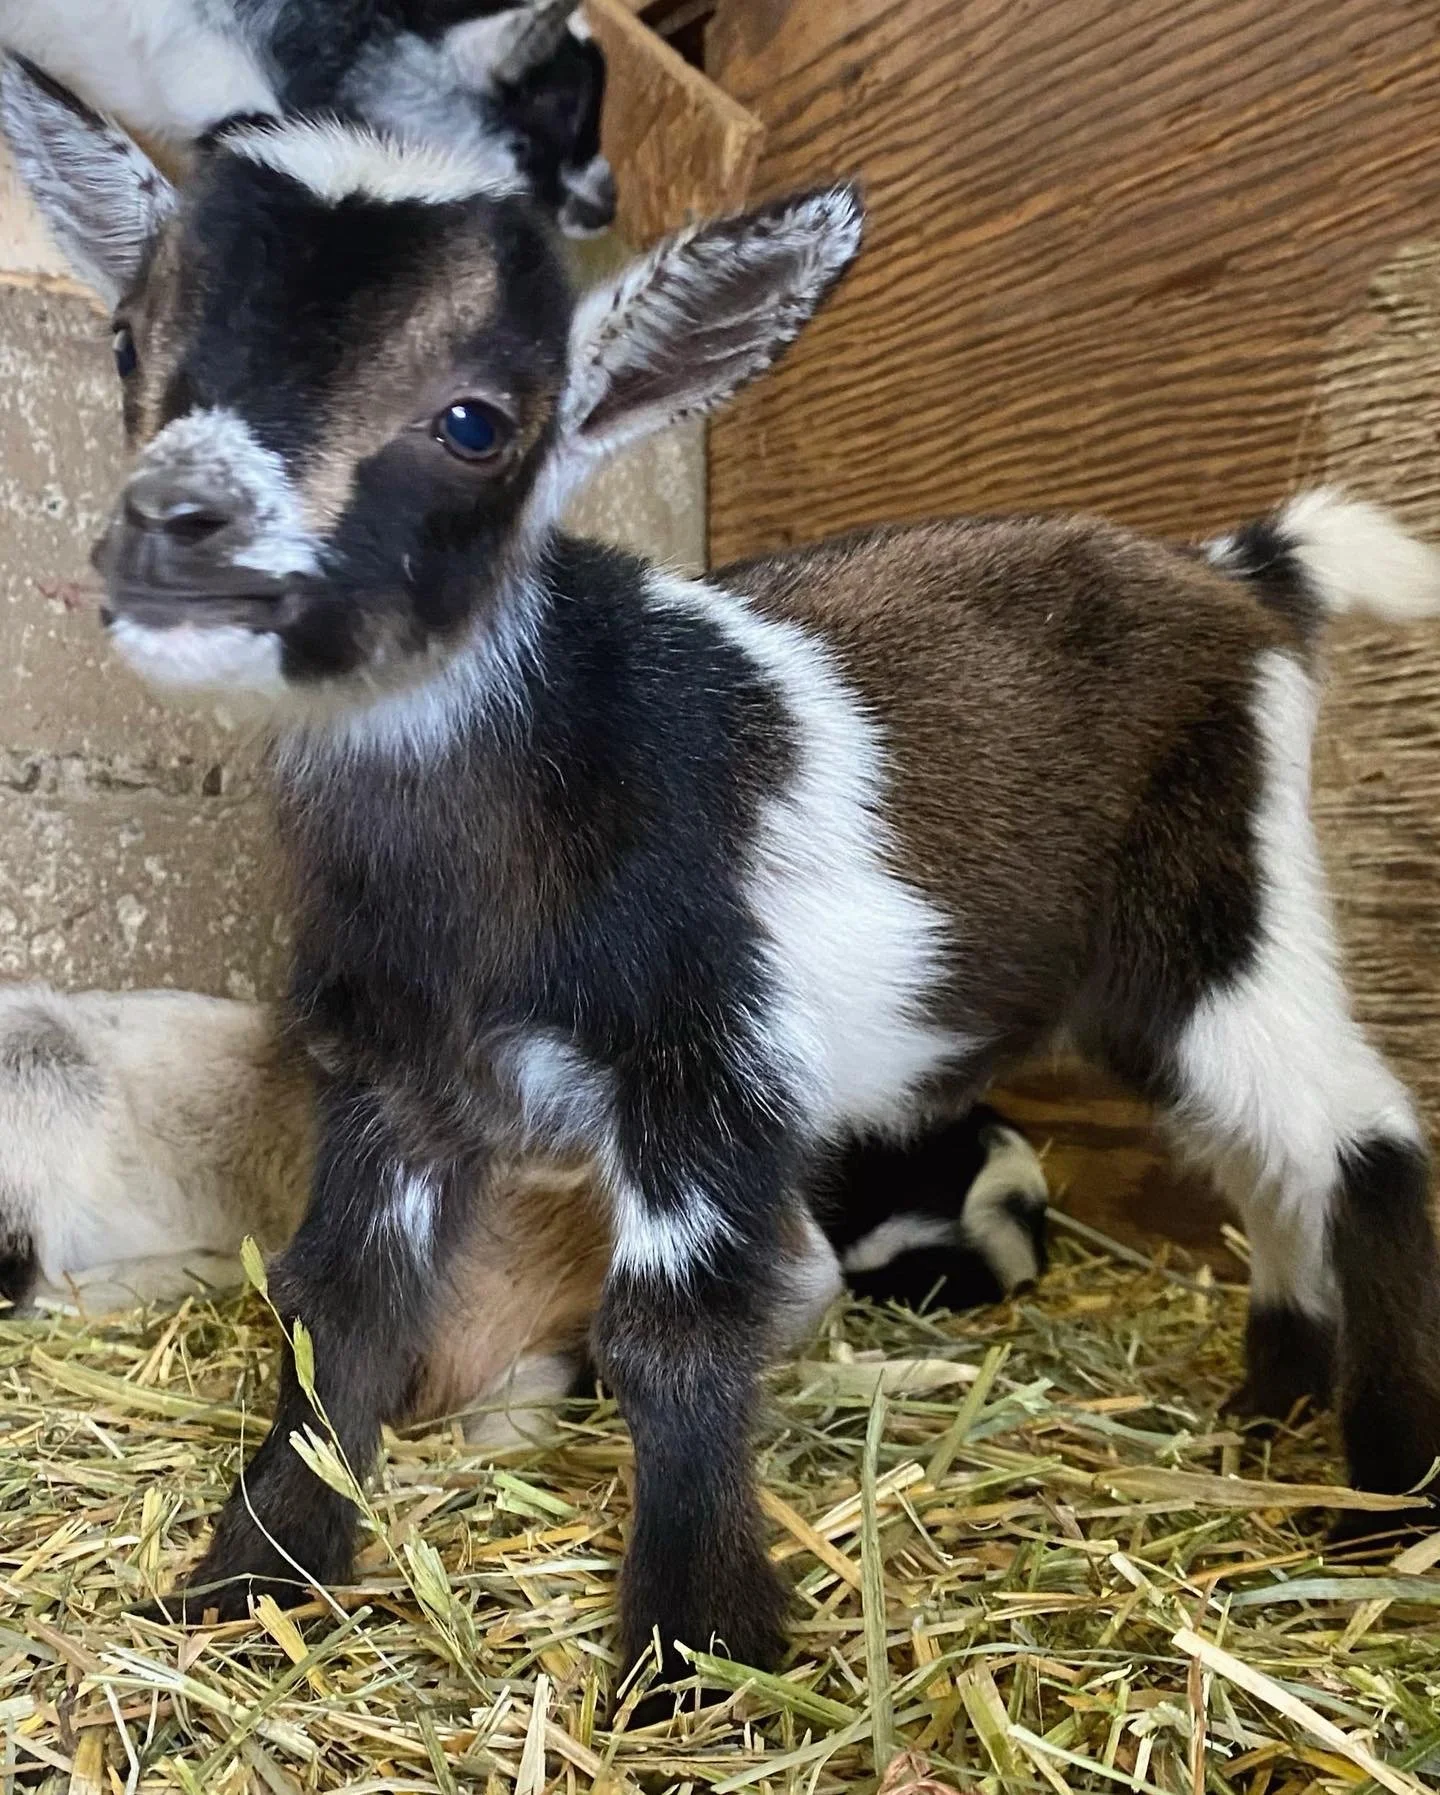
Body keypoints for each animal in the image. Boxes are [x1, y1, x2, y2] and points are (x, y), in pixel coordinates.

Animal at [8, 68, 1439, 1701]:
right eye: (130, 341)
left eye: (478, 420)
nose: (172, 532)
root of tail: (1240, 580)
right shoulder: (392, 1069)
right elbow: (341, 1308)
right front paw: (255, 1580)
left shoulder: (708, 1060)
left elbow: (674, 1333)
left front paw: (697, 1653)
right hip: (1153, 975)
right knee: (1262, 1155)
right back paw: (1276, 1399)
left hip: (1232, 910)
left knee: (1364, 1138)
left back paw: (1383, 1486)